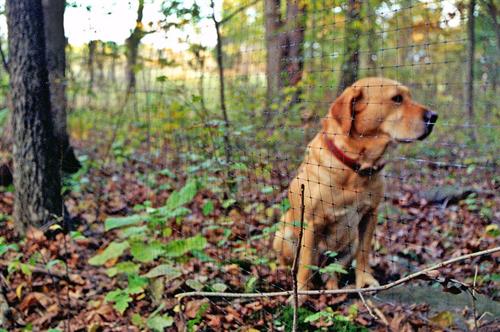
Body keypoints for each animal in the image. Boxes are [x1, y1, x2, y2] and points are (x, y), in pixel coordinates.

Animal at [274, 77, 438, 294]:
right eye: (397, 98)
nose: (434, 116)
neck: (356, 167)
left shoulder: (370, 214)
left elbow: (364, 252)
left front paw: (365, 281)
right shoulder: (311, 223)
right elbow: (305, 264)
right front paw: (301, 294)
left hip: (349, 243)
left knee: (333, 270)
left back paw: (333, 284)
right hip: (282, 235)